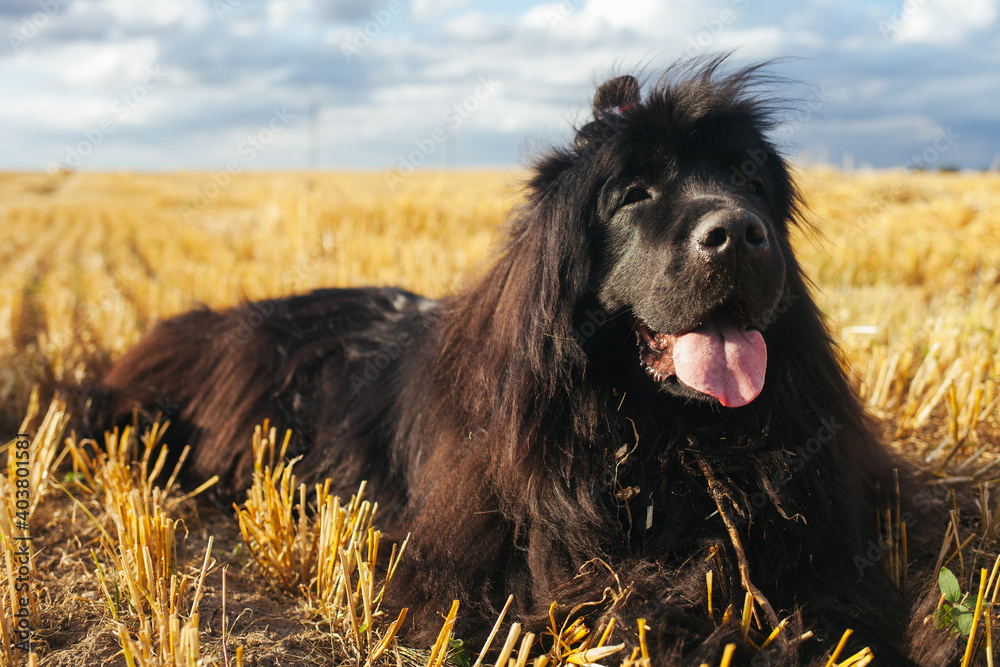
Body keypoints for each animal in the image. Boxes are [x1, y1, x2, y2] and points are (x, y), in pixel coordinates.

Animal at [95, 60, 952, 664]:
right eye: (634, 192)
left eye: (749, 178)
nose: (738, 233)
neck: (669, 435)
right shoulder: (506, 570)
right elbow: (638, 601)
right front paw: (734, 633)